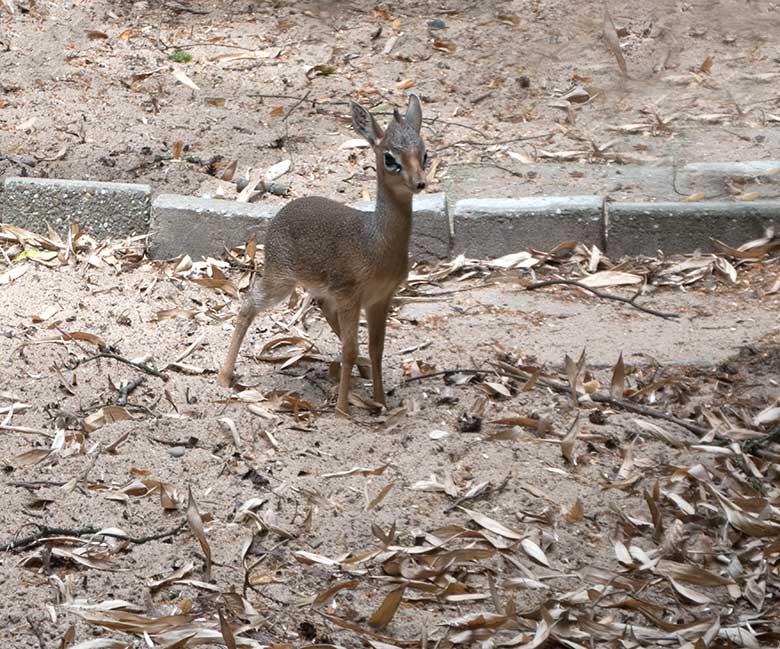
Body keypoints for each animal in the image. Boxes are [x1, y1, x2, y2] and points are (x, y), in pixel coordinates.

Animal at [216, 93, 430, 412]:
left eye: (424, 153)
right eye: (390, 157)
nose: (419, 183)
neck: (375, 243)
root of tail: (284, 211)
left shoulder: (380, 299)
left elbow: (376, 348)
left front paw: (380, 401)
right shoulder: (350, 296)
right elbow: (350, 350)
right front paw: (342, 410)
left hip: (321, 290)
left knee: (325, 314)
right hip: (281, 281)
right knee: (248, 304)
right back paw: (224, 376)